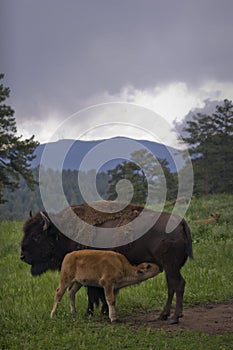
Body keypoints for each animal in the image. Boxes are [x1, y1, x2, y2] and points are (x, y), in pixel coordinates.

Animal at [20, 201, 192, 324]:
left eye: (36, 236)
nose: (23, 256)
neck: (62, 233)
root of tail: (181, 222)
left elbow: (93, 293)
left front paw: (90, 313)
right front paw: (102, 311)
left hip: (171, 267)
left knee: (178, 284)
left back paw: (174, 318)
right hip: (170, 268)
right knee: (171, 286)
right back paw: (163, 315)